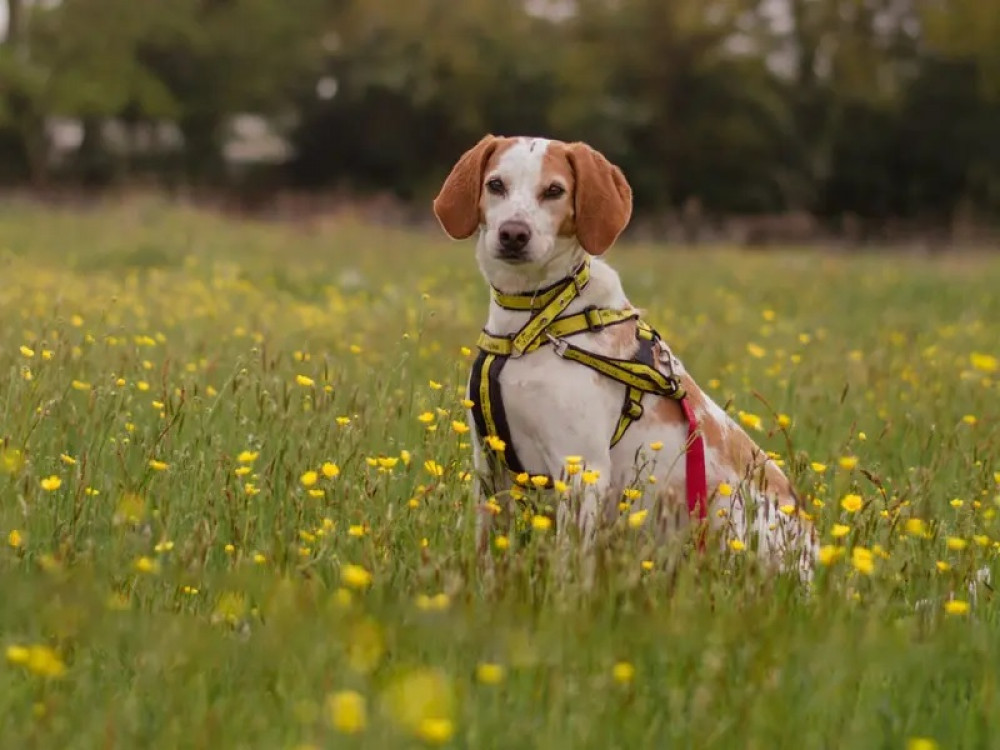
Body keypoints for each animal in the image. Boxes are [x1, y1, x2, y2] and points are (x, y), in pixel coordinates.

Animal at [434, 137, 816, 580]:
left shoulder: (581, 470)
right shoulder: (490, 465)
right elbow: (488, 554)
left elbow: (568, 564)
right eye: (496, 184)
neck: (533, 325)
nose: (514, 233)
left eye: (554, 191)